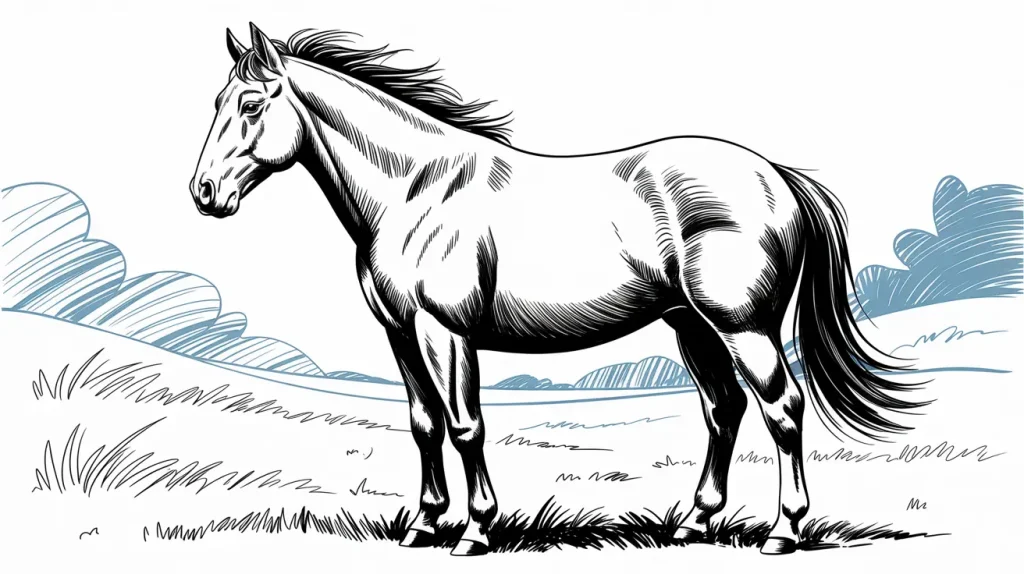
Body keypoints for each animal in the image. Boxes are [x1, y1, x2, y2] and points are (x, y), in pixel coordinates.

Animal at [189, 24, 925, 556]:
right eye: (217, 103)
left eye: (250, 104)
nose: (204, 194)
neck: (418, 189)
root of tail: (776, 175)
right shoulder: (399, 331)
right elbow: (424, 425)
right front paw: (424, 525)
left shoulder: (445, 331)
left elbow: (465, 426)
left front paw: (474, 531)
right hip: (691, 325)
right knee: (724, 409)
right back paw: (692, 523)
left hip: (744, 328)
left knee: (782, 409)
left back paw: (782, 532)